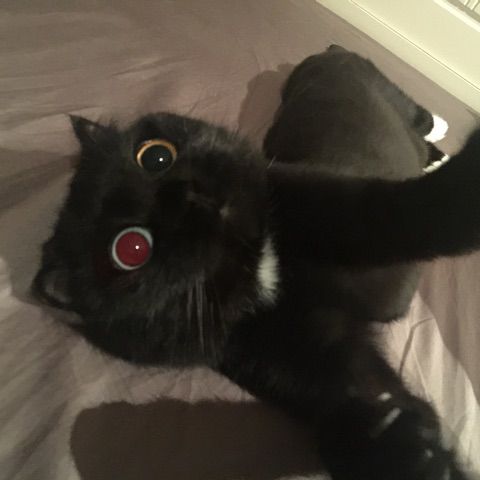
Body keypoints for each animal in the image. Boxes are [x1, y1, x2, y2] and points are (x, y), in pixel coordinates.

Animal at [33, 47, 480, 480]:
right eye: (131, 249)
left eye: (156, 157)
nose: (189, 194)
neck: (259, 266)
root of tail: (326, 51)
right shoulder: (292, 354)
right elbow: (362, 403)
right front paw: (401, 447)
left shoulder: (323, 203)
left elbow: (398, 213)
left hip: (384, 89)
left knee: (420, 117)